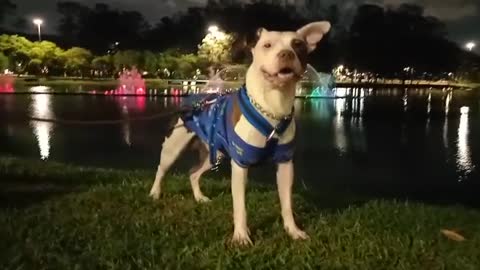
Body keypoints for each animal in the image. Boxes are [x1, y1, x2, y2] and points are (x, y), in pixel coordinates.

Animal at [149, 21, 330, 245]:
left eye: (298, 45)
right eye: (267, 45)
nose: (287, 53)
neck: (273, 106)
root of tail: (192, 99)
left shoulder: (285, 164)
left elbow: (287, 203)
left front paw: (293, 231)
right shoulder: (241, 164)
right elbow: (240, 207)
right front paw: (241, 236)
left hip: (214, 153)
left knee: (193, 173)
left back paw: (199, 197)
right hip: (173, 147)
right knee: (161, 169)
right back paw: (155, 193)